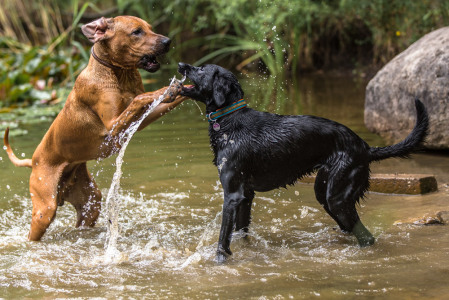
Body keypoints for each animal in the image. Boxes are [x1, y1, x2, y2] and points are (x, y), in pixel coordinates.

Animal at [2, 15, 185, 241]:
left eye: (150, 28)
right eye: (137, 32)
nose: (168, 41)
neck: (117, 74)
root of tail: (33, 161)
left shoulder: (143, 118)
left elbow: (147, 100)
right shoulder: (113, 126)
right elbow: (140, 98)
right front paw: (166, 88)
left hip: (90, 201)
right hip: (44, 210)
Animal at [178, 62, 428, 262]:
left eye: (201, 69)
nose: (181, 64)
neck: (230, 120)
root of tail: (365, 147)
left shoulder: (232, 195)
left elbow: (223, 238)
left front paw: (219, 261)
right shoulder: (246, 195)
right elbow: (241, 232)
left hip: (337, 197)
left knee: (366, 237)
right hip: (325, 192)